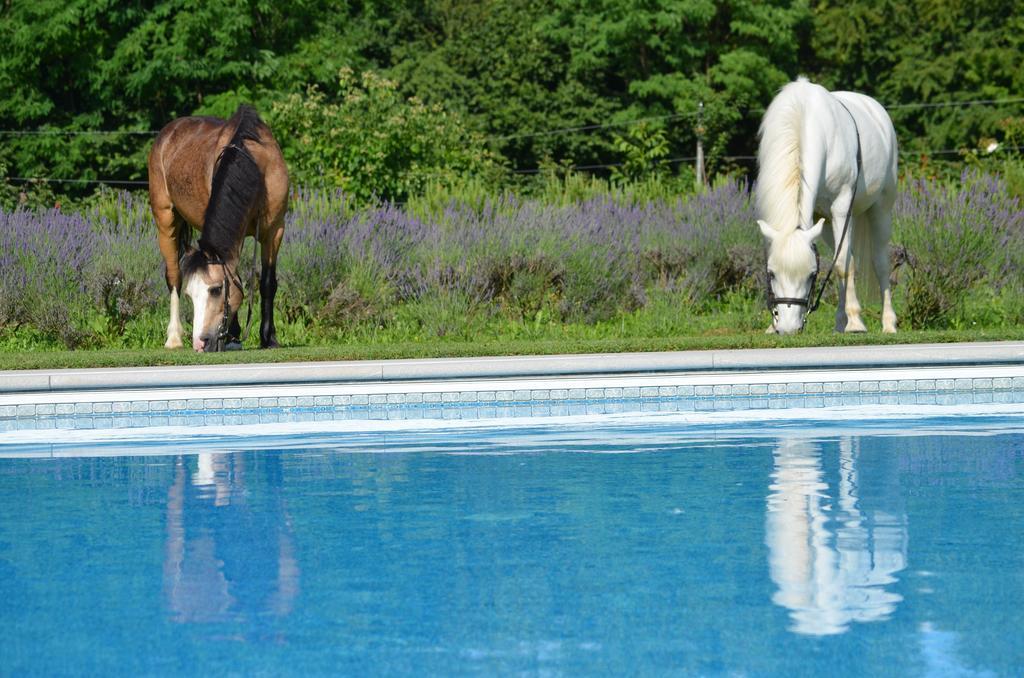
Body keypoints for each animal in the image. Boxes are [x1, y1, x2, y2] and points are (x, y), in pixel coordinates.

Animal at [147, 104, 288, 356]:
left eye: (215, 290)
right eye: (190, 295)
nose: (200, 344)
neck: (256, 167)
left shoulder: (274, 231)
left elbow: (267, 283)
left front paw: (269, 338)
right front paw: (233, 336)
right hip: (165, 221)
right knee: (173, 277)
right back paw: (174, 337)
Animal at [757, 78, 901, 335]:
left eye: (812, 275)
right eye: (771, 273)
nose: (788, 328)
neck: (803, 120)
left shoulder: (842, 207)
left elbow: (843, 266)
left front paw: (856, 323)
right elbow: (840, 265)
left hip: (880, 211)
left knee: (879, 263)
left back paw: (887, 323)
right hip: (825, 225)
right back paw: (840, 322)